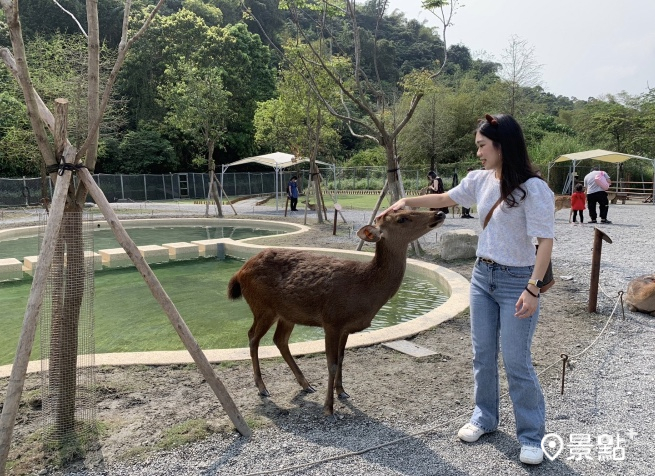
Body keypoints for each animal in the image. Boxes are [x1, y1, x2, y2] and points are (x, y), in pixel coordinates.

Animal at [228, 209, 448, 416]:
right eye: (401, 219)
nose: (439, 213)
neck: (365, 292)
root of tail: (239, 273)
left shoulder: (346, 327)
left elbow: (342, 358)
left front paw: (342, 391)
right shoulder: (331, 321)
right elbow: (331, 363)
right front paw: (328, 407)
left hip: (287, 313)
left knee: (279, 340)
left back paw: (306, 385)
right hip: (263, 306)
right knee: (253, 336)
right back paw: (262, 388)